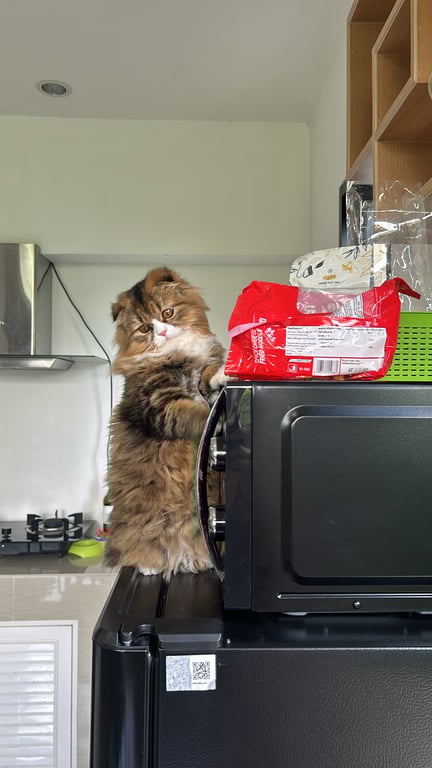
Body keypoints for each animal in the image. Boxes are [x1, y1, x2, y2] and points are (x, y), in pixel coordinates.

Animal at [105, 266, 226, 579]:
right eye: (145, 328)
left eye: (167, 313)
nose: (161, 330)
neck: (179, 354)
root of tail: (180, 556)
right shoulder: (161, 405)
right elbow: (198, 414)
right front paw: (215, 424)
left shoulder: (201, 380)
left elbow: (209, 375)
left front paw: (226, 372)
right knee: (145, 551)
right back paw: (150, 566)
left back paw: (199, 562)